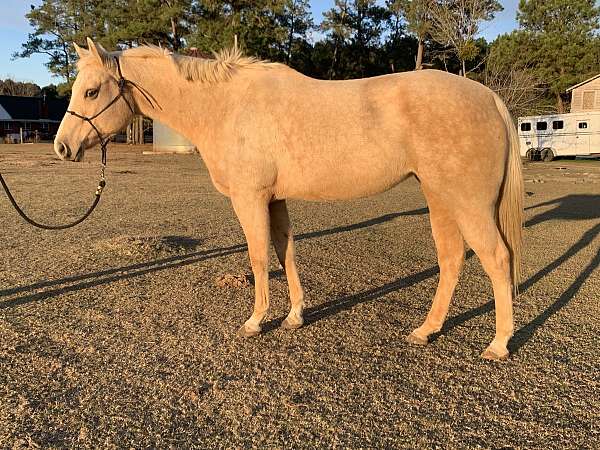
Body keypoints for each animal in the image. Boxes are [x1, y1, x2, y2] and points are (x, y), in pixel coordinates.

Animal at [57, 39, 524, 362]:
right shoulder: (274, 199)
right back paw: (426, 330)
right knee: (452, 259)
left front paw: (254, 321)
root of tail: (489, 97)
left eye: (92, 91)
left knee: (497, 258)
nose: (63, 147)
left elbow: (259, 256)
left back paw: (499, 344)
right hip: (439, 196)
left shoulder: (250, 198)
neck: (227, 106)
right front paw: (294, 316)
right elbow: (286, 252)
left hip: (467, 202)